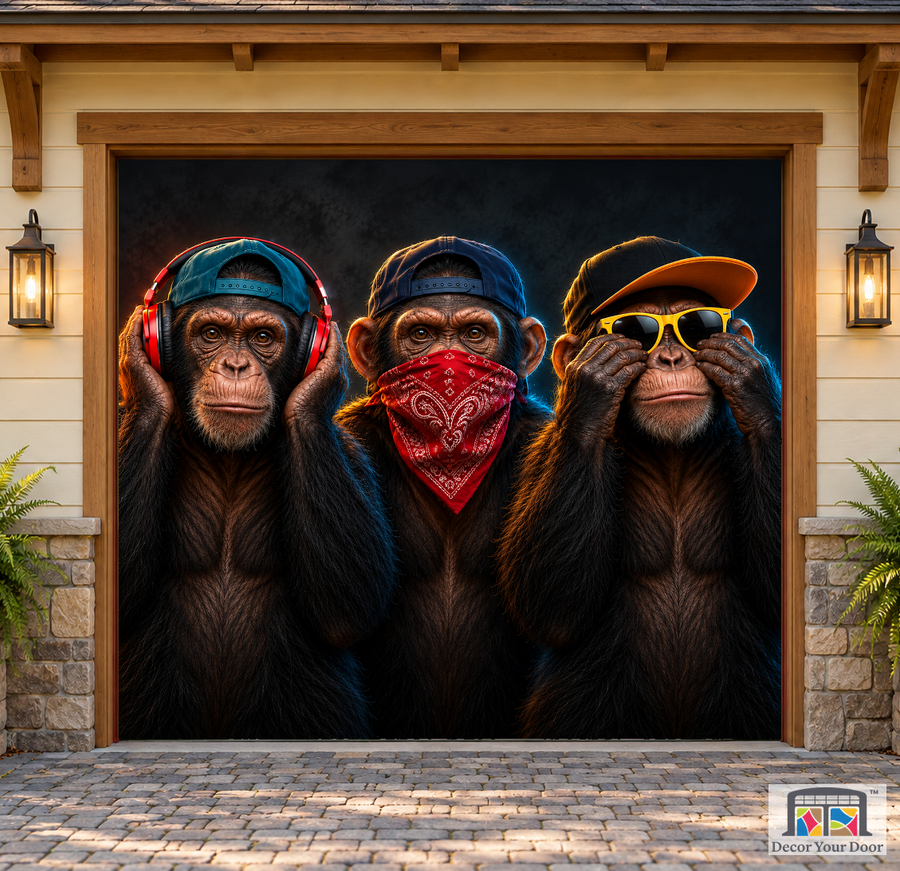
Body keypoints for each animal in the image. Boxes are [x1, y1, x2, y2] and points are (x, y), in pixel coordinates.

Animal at [117, 244, 397, 739]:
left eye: (263, 337)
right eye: (212, 333)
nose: (236, 365)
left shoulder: (352, 453)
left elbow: (351, 606)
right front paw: (141, 372)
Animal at [497, 237, 781, 739]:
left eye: (698, 325)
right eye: (634, 330)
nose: (671, 357)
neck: (672, 457)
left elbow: (778, 590)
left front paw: (748, 377)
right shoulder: (532, 453)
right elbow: (546, 603)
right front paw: (594, 381)